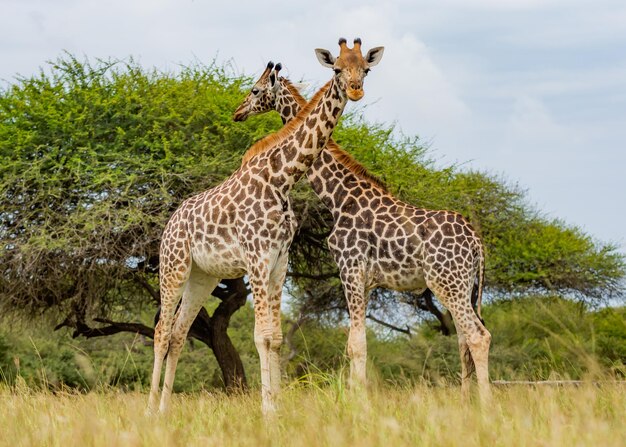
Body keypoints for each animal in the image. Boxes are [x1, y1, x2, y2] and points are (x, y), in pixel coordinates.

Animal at [149, 39, 382, 416]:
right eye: (336, 69)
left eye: (365, 69)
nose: (355, 90)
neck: (282, 178)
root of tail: (169, 223)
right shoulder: (257, 259)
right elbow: (261, 336)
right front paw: (268, 411)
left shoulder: (279, 263)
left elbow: (275, 338)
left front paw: (277, 406)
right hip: (174, 268)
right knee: (160, 331)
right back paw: (148, 410)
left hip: (203, 276)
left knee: (178, 333)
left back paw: (164, 410)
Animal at [232, 62, 490, 402]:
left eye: (255, 90)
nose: (237, 112)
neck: (338, 198)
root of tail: (476, 244)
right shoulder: (365, 281)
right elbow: (356, 344)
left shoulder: (350, 270)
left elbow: (356, 346)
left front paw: (358, 403)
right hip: (463, 286)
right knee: (464, 339)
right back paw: (465, 401)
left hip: (448, 283)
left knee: (478, 336)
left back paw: (486, 404)